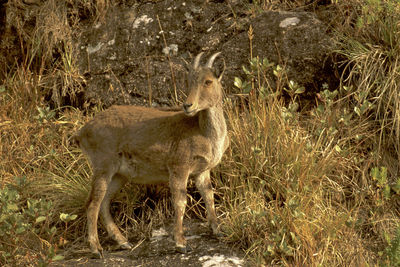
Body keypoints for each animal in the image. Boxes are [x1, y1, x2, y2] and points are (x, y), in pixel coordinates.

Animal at [72, 51, 228, 258]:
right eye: (189, 80)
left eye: (208, 81)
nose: (188, 105)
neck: (203, 132)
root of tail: (82, 132)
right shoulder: (178, 167)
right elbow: (180, 202)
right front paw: (181, 243)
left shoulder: (202, 171)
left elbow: (209, 197)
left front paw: (218, 230)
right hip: (103, 166)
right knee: (92, 203)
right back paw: (96, 249)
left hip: (119, 175)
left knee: (104, 202)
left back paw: (123, 242)